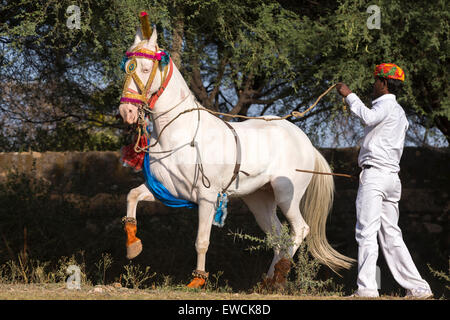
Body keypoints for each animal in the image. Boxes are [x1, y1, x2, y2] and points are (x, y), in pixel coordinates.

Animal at [118, 22, 354, 288]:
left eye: (146, 68)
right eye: (126, 68)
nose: (126, 111)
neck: (180, 134)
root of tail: (306, 142)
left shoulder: (207, 197)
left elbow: (201, 241)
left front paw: (197, 281)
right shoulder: (168, 189)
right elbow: (132, 195)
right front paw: (133, 246)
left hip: (287, 196)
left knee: (299, 230)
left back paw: (280, 276)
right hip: (260, 200)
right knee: (277, 237)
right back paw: (267, 282)